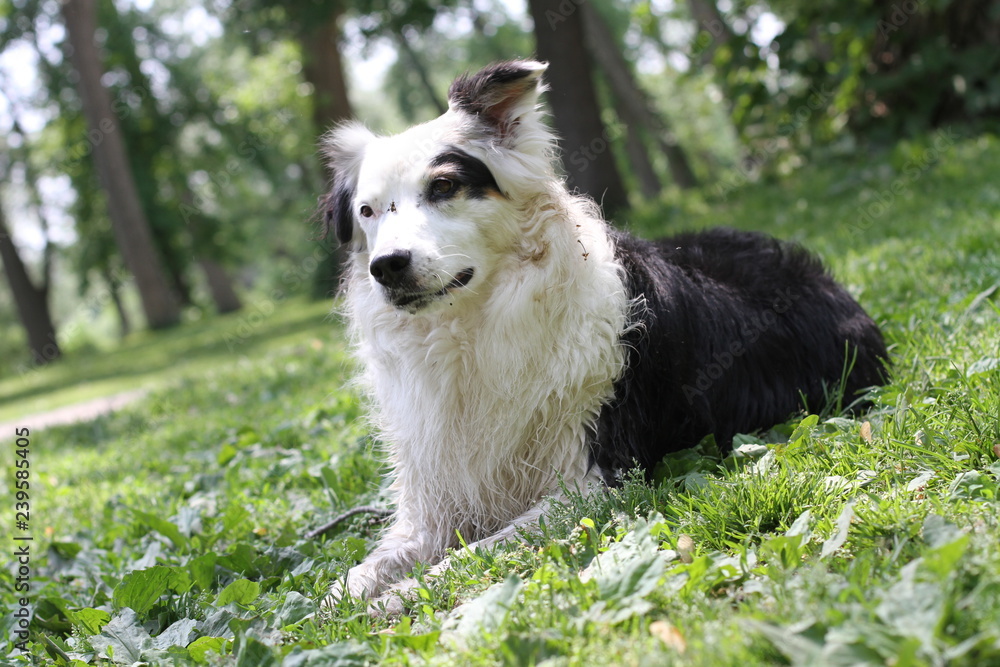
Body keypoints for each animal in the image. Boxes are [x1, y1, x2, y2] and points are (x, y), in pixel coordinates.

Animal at [318, 60, 884, 608]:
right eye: (367, 211)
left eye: (443, 187)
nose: (387, 266)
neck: (473, 327)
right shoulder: (433, 499)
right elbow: (360, 573)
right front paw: (338, 601)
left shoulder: (596, 478)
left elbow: (479, 550)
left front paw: (408, 593)